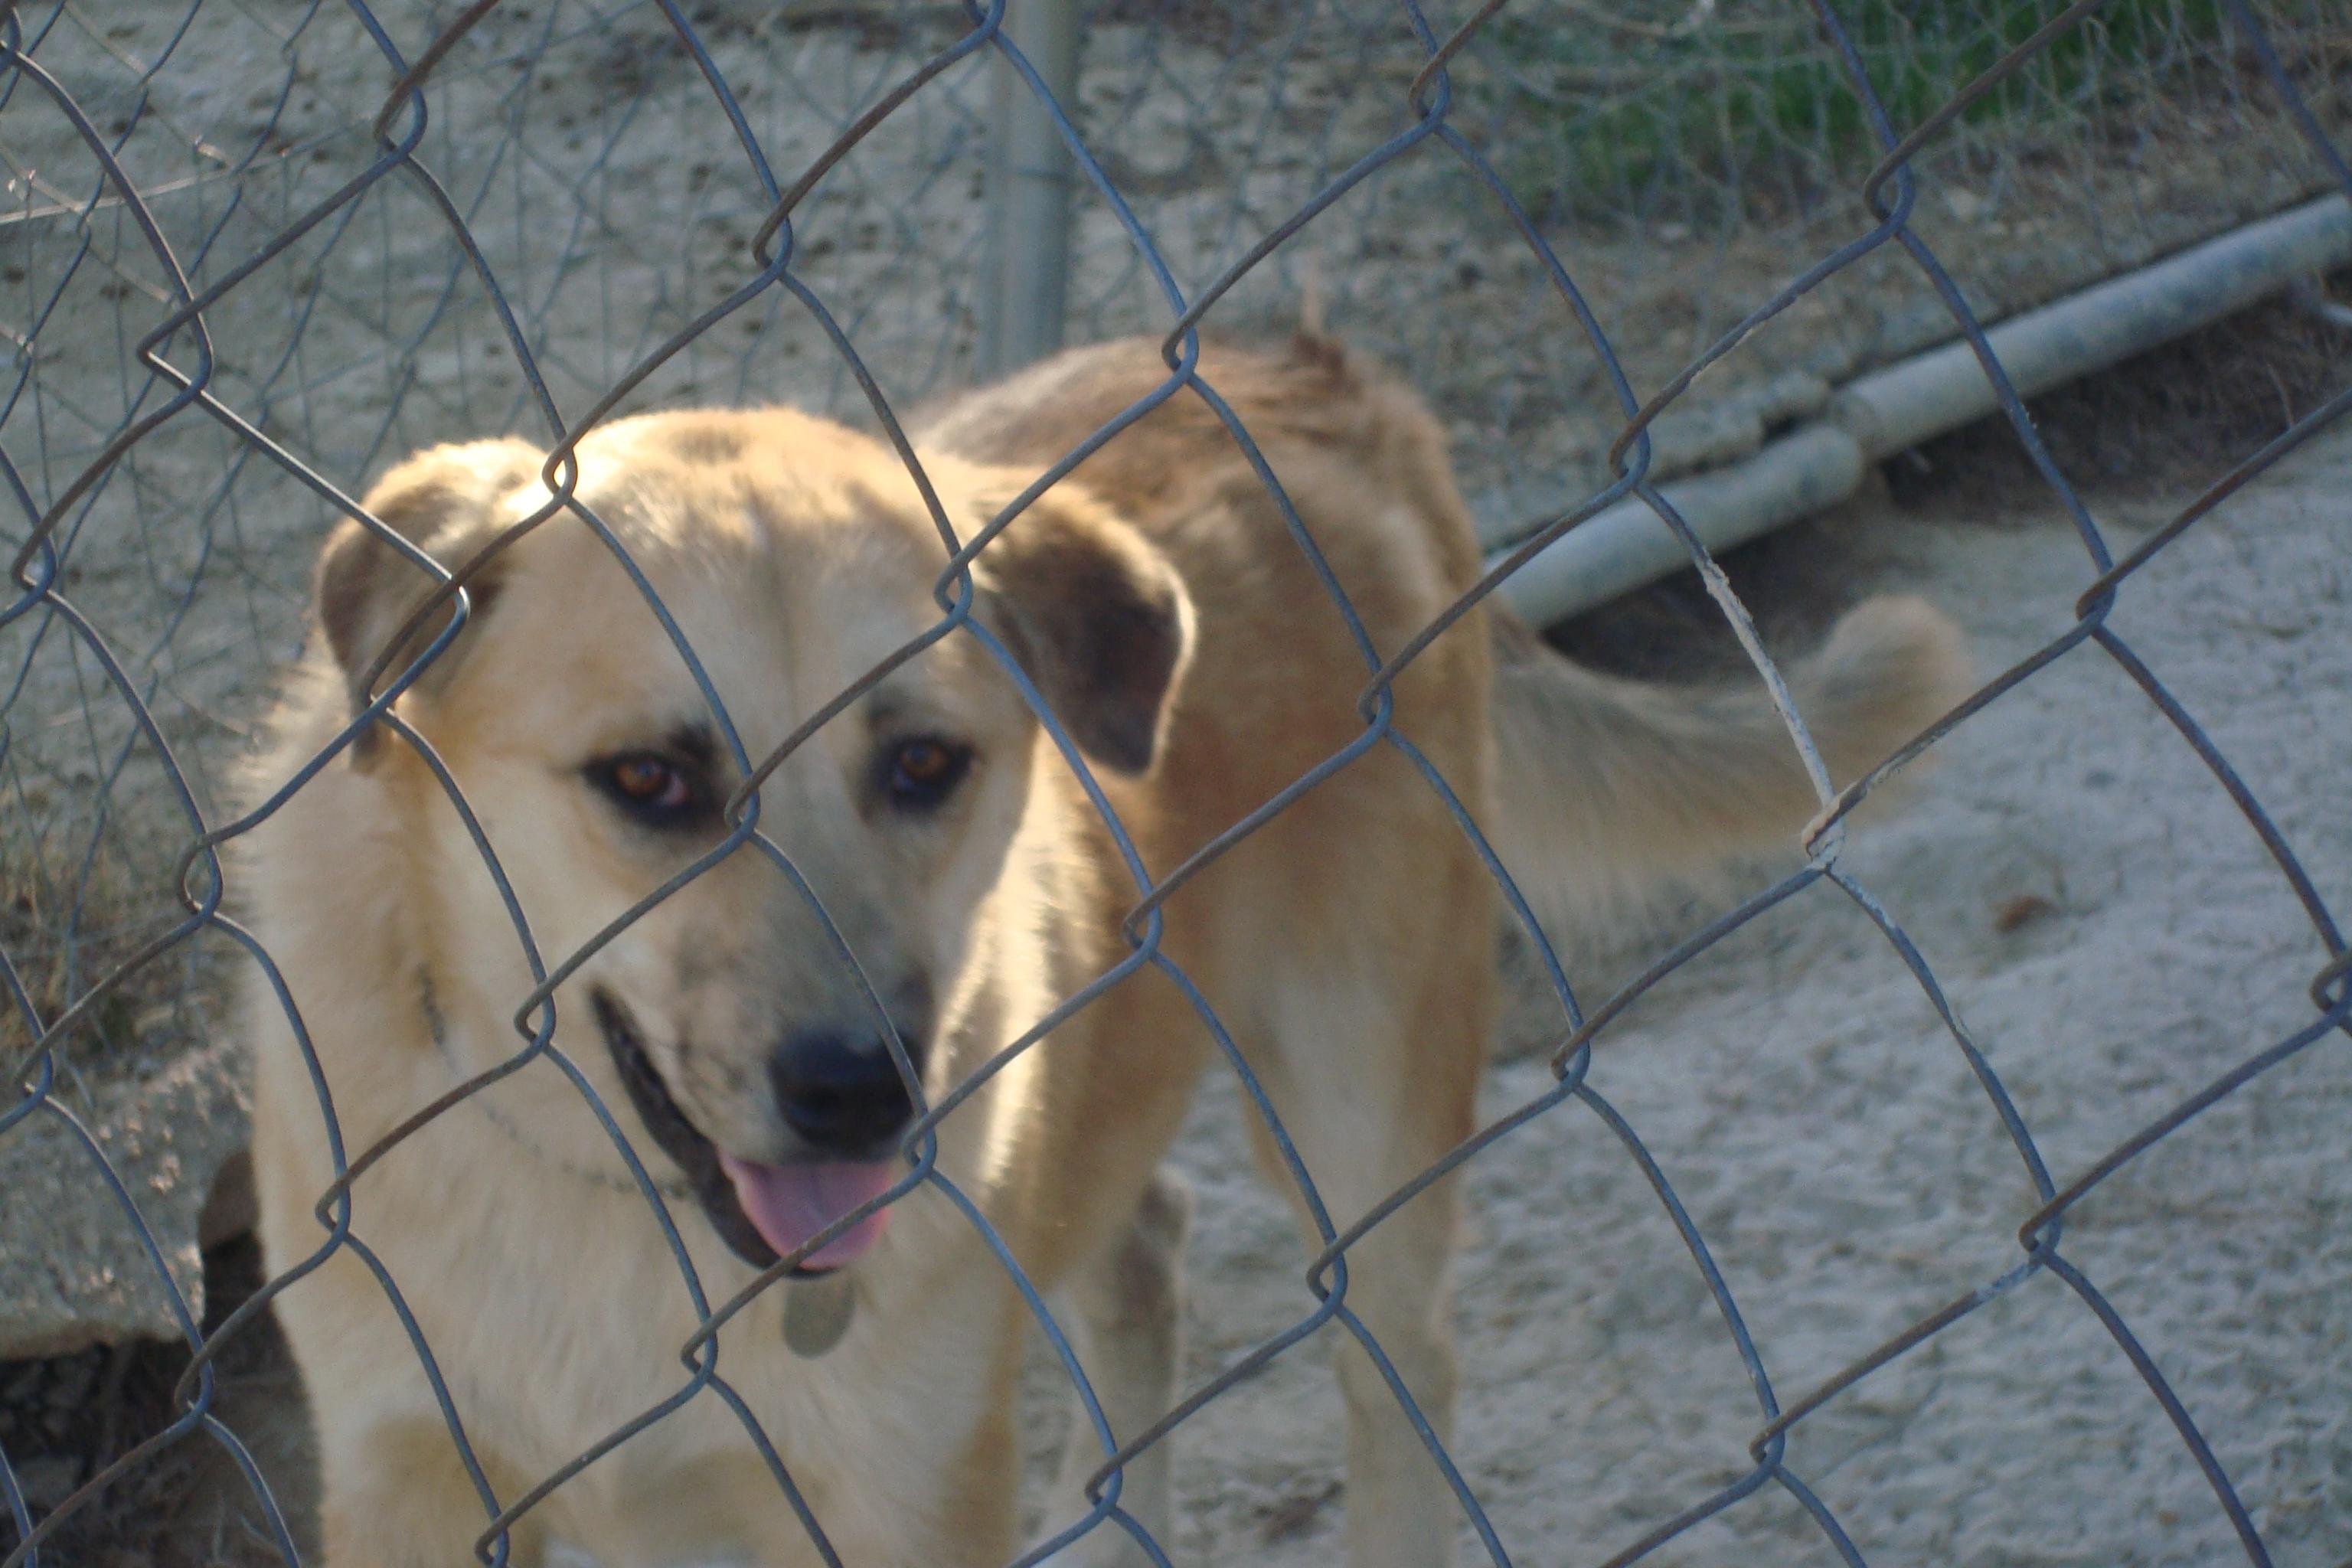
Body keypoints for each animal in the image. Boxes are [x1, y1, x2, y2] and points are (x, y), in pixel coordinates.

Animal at [238, 334, 1966, 1568]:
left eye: (926, 763)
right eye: (649, 780)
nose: (867, 1095)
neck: (611, 1208)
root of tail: (1312, 374)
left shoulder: (906, 1494)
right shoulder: (403, 1475)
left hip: (1366, 1113)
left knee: (1396, 1368)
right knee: (1145, 1242)